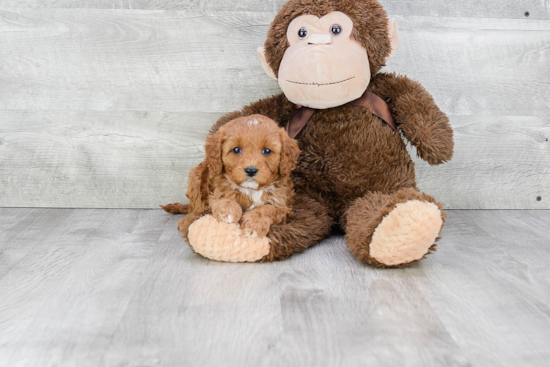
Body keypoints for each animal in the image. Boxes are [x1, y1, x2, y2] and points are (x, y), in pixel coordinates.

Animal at [164, 115, 302, 239]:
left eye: (267, 151)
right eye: (236, 149)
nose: (251, 170)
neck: (250, 189)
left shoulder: (282, 204)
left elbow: (267, 208)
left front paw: (254, 225)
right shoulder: (216, 192)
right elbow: (222, 199)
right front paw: (228, 210)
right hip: (195, 177)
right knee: (196, 207)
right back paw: (188, 221)